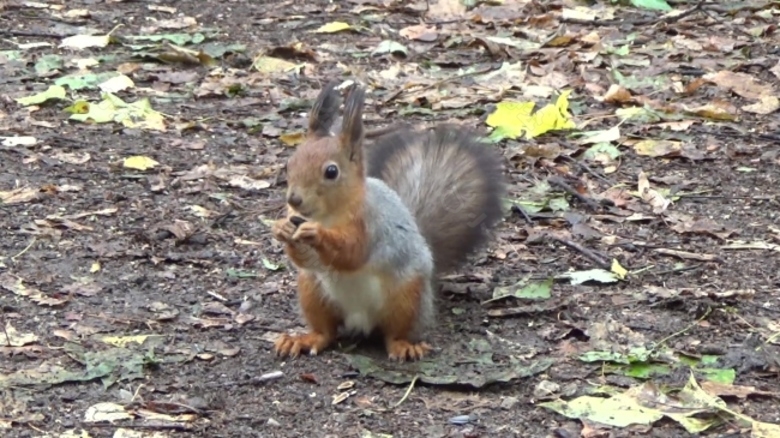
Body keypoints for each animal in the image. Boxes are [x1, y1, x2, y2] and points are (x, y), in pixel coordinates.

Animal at [272, 80, 506, 362]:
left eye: (331, 171)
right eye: (289, 164)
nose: (294, 199)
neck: (328, 214)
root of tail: (360, 321)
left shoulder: (371, 224)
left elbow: (352, 252)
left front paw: (316, 233)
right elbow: (305, 260)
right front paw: (281, 228)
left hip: (406, 298)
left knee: (395, 333)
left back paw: (404, 346)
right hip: (312, 292)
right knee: (325, 332)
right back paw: (303, 339)